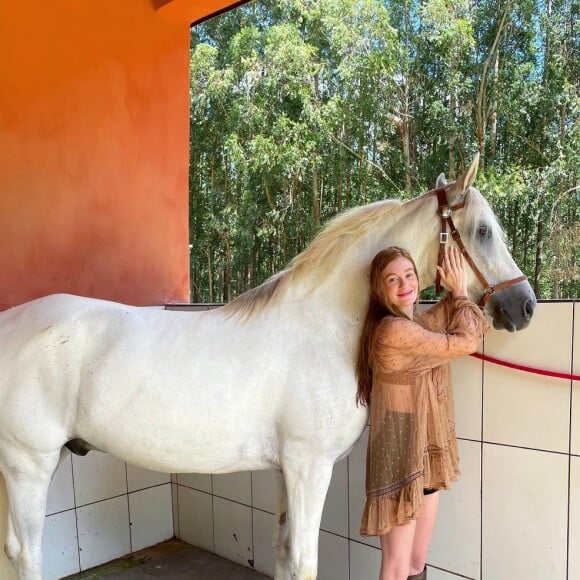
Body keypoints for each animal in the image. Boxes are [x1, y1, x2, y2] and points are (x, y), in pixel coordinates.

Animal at [0, 155, 536, 580]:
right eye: (483, 231)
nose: (524, 306)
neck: (324, 325)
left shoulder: (286, 472)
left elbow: (282, 551)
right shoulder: (308, 466)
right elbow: (303, 560)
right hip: (30, 463)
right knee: (25, 554)